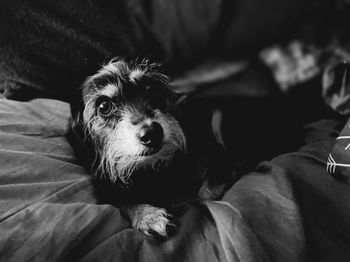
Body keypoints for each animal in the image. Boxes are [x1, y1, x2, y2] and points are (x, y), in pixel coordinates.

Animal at [67, 58, 232, 238]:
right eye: (104, 106)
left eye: (149, 88)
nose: (152, 133)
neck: (151, 170)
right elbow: (125, 201)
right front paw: (148, 217)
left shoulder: (213, 155)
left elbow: (206, 194)